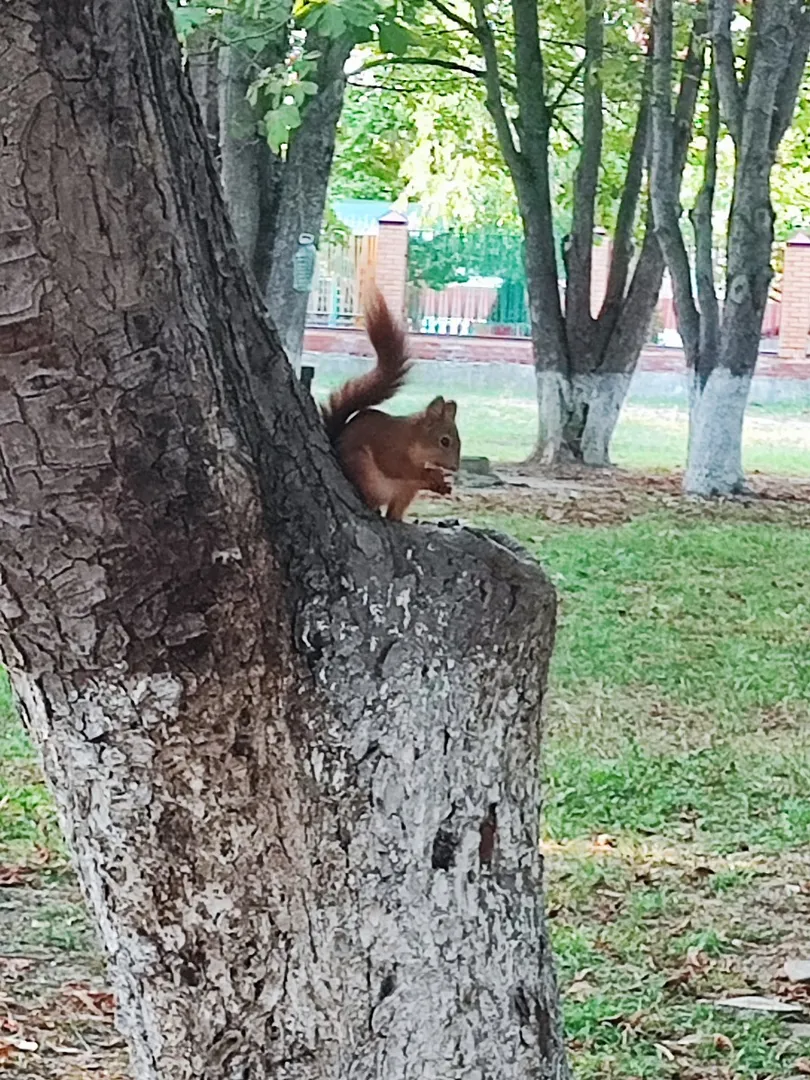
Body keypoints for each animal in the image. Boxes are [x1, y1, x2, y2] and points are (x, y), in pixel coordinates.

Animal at [324, 289, 462, 520]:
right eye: (445, 441)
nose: (455, 467)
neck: (413, 439)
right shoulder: (390, 446)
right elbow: (396, 466)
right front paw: (432, 473)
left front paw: (442, 484)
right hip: (363, 471)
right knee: (374, 500)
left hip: (405, 492)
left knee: (394, 511)